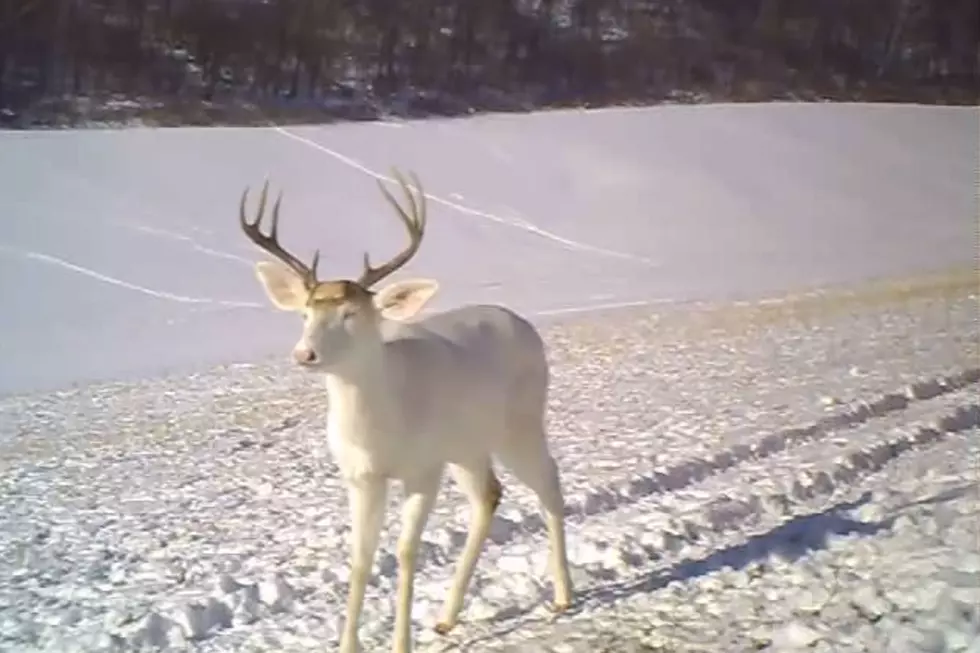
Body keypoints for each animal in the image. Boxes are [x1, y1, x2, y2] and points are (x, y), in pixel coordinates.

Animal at [238, 169, 576, 652]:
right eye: (304, 313)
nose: (305, 353)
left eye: (351, 313)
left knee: (548, 480)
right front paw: (347, 644)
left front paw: (401, 643)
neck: (381, 431)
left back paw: (563, 594)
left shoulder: (423, 470)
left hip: (521, 423)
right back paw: (446, 618)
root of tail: (524, 325)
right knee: (489, 495)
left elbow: (405, 550)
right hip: (466, 447)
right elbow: (361, 557)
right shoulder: (361, 476)